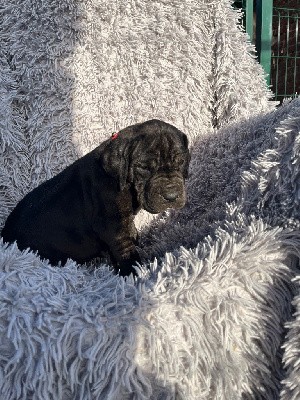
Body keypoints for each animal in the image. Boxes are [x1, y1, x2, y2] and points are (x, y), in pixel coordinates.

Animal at [1, 119, 190, 276]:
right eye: (144, 167)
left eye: (181, 162)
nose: (171, 196)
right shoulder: (114, 226)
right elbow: (126, 251)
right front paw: (135, 273)